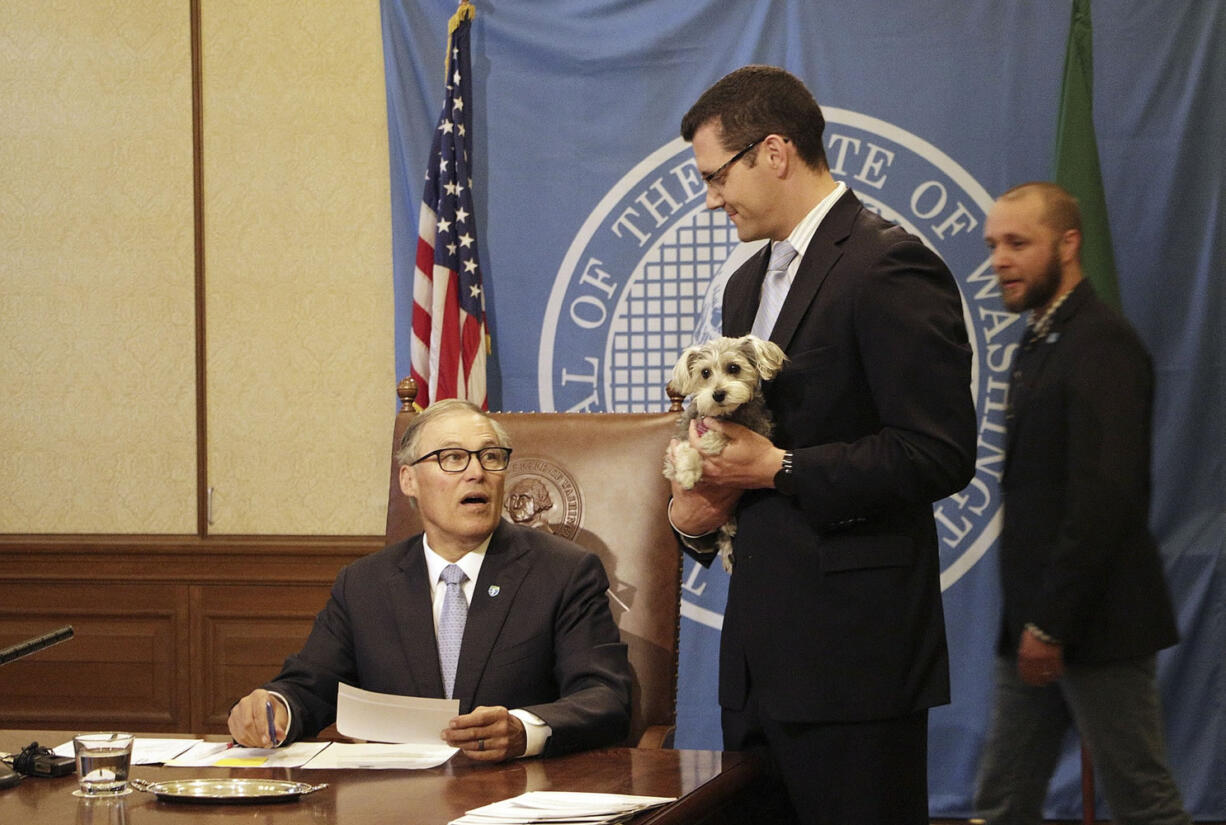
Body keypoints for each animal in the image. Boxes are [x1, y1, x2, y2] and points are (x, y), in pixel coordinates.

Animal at [666, 333, 789, 573]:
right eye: (705, 372)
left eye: (734, 367)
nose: (718, 394)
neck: (726, 416)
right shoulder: (677, 444)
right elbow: (685, 450)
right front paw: (688, 473)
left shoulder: (760, 431)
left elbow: (721, 436)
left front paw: (712, 441)